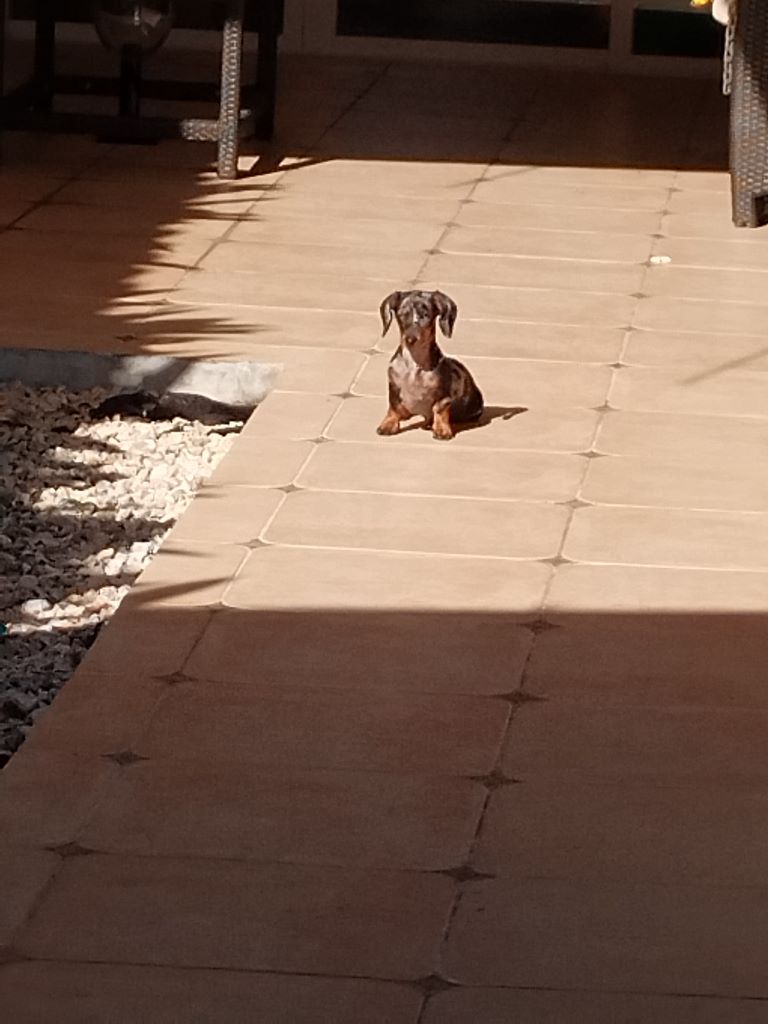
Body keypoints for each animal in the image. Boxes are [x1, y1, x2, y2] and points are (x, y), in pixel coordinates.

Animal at [376, 290, 483, 441]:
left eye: (425, 315)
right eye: (402, 314)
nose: (410, 339)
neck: (414, 364)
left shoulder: (443, 395)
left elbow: (439, 408)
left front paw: (442, 430)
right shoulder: (394, 387)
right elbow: (394, 406)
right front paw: (388, 424)